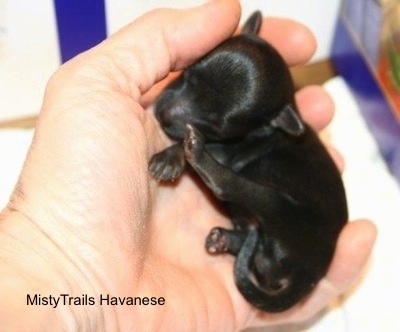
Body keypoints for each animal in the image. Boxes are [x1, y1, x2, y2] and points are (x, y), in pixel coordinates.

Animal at [148, 10, 348, 312]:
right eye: (189, 72)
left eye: (217, 125)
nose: (162, 116)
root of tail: (310, 273)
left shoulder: (228, 151)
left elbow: (197, 148)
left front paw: (171, 157)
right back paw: (224, 239)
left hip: (279, 205)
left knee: (229, 187)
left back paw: (198, 153)